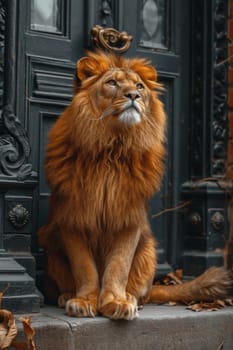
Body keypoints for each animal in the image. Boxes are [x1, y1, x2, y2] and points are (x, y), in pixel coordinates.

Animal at [38, 50, 233, 320]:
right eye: (112, 83)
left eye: (139, 86)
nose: (134, 96)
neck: (112, 146)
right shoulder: (72, 218)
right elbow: (84, 267)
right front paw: (85, 300)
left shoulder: (129, 217)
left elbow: (119, 265)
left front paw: (116, 301)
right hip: (50, 242)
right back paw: (67, 295)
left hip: (149, 249)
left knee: (144, 292)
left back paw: (132, 298)